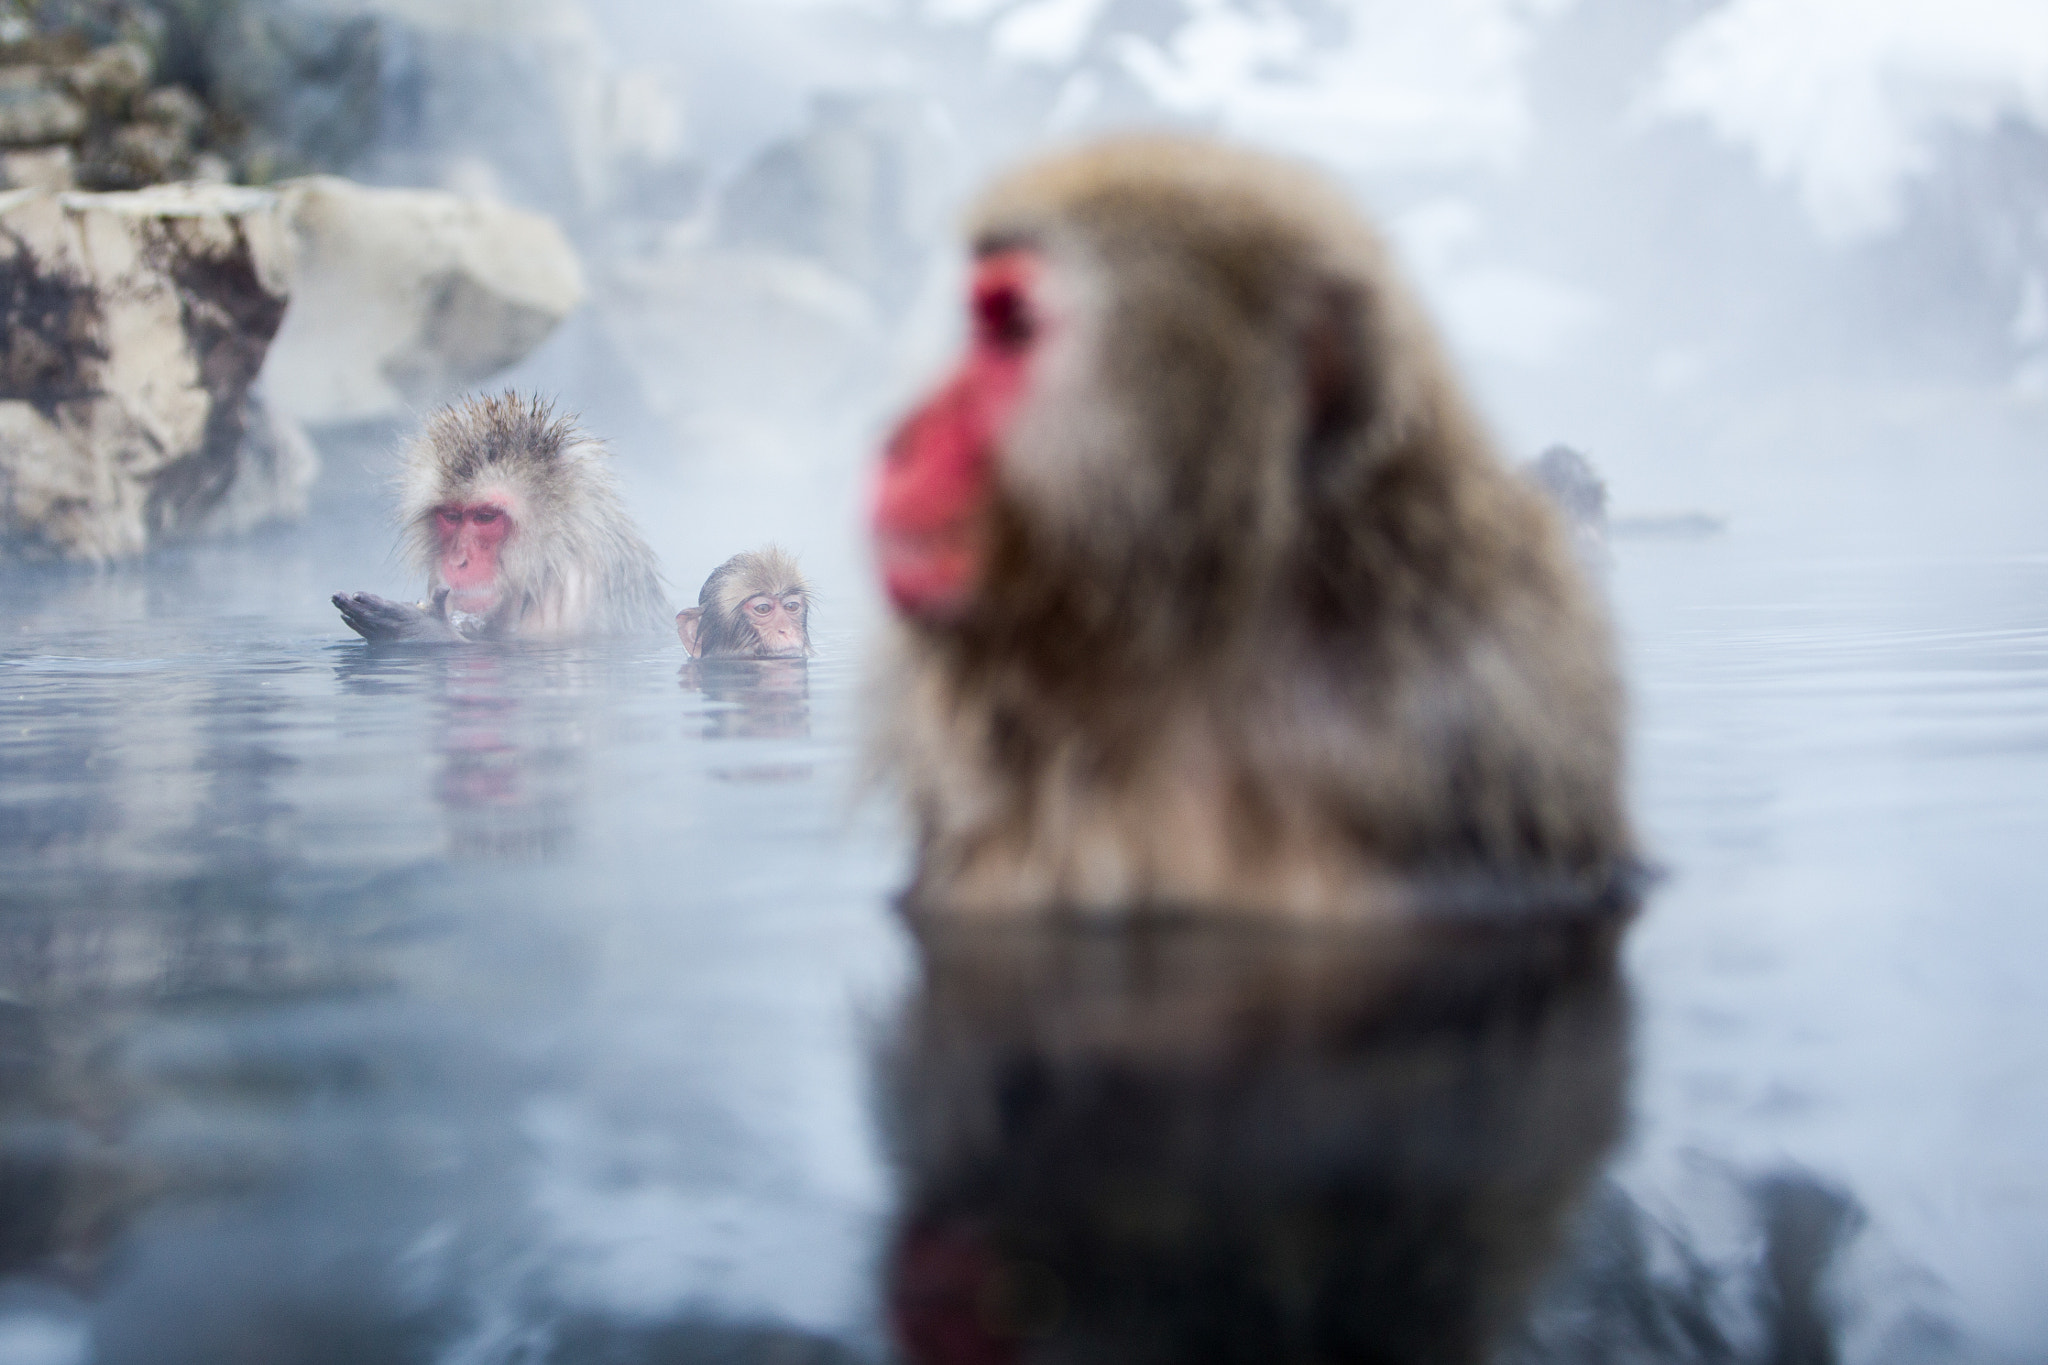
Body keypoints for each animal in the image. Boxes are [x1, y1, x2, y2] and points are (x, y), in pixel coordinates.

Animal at [332, 392, 672, 643]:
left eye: (485, 516)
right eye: (452, 516)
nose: (458, 561)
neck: (545, 564)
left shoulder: (575, 596)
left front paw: (420, 630)